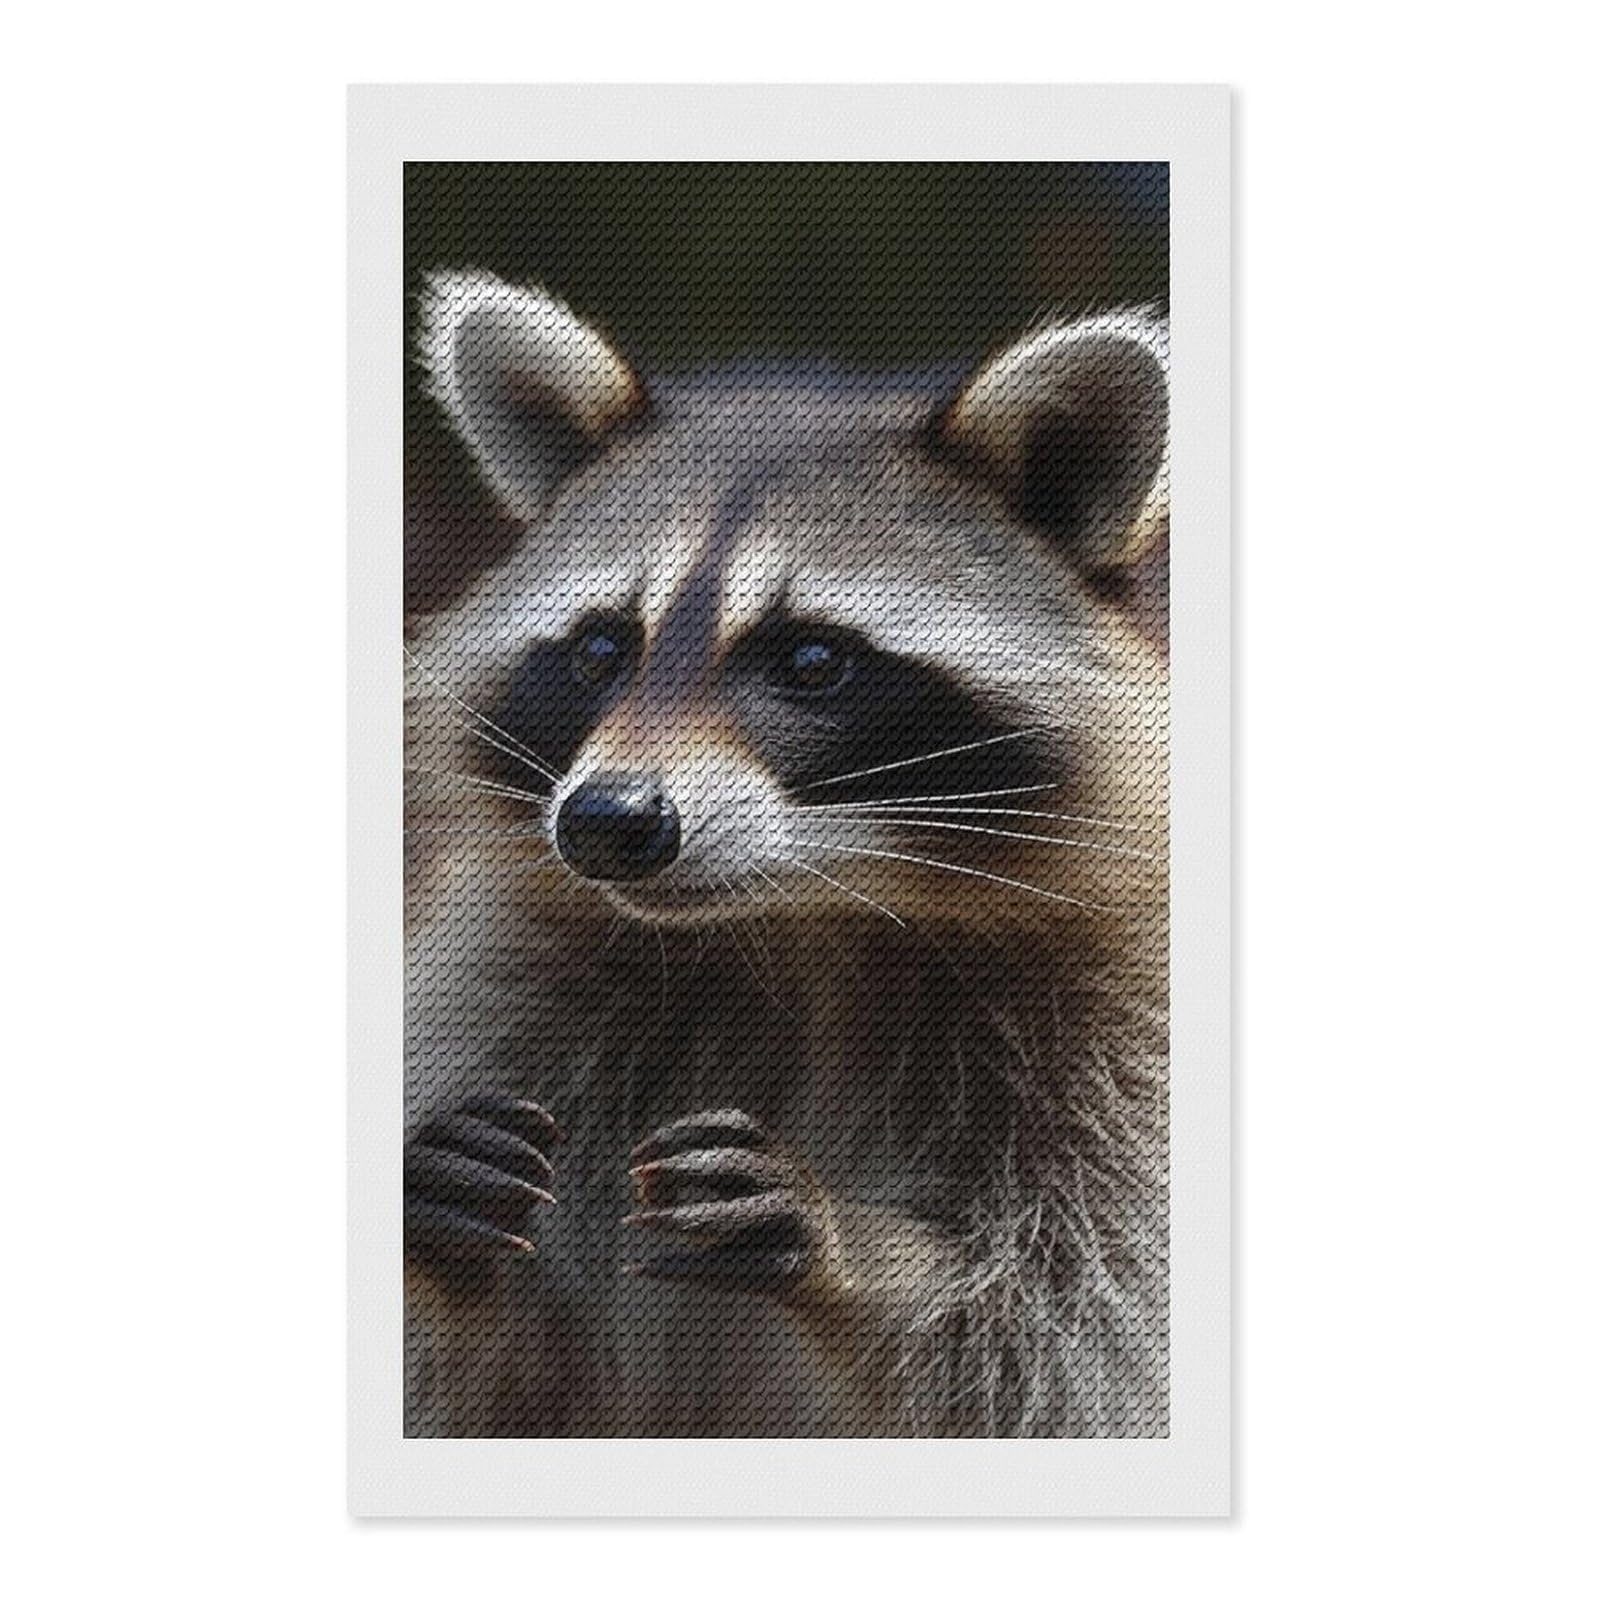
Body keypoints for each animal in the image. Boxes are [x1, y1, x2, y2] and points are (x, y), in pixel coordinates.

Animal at [404, 269, 1169, 1438]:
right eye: (600, 647)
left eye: (812, 660)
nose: (606, 820)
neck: (805, 919)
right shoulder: (519, 978)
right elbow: (505, 1390)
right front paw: (456, 1270)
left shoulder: (1127, 1026)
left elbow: (1067, 1352)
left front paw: (862, 1258)